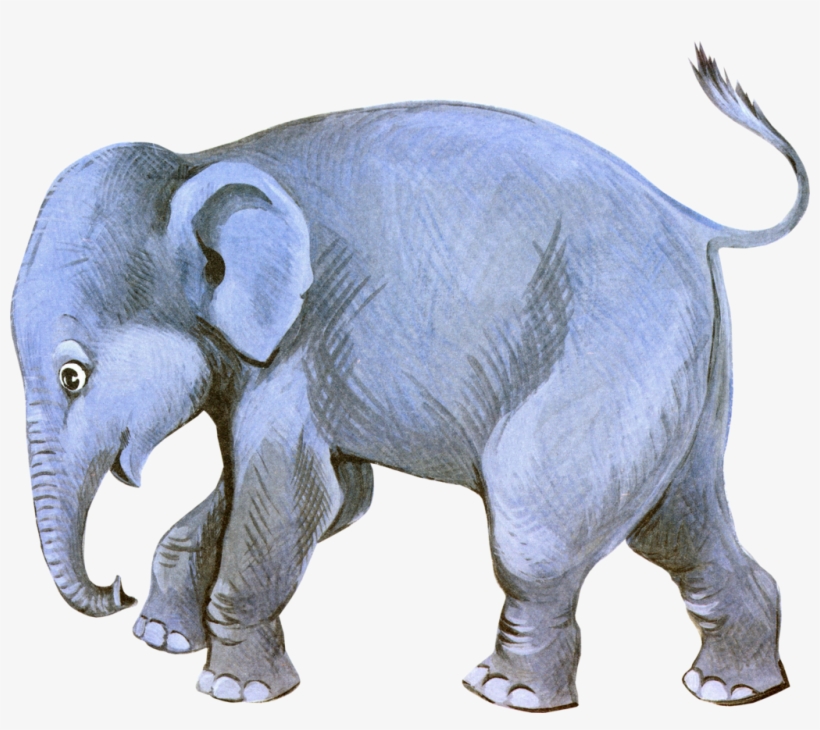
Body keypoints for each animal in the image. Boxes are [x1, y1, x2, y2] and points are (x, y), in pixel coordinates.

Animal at [11, 46, 808, 711]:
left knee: (538, 534)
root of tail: (691, 220)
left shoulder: (302, 348)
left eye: (73, 375)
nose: (113, 588)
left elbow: (294, 499)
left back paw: (508, 694)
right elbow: (322, 494)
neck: (200, 161)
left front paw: (234, 690)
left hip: (614, 348)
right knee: (677, 521)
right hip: (682, 369)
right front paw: (163, 640)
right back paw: (734, 688)